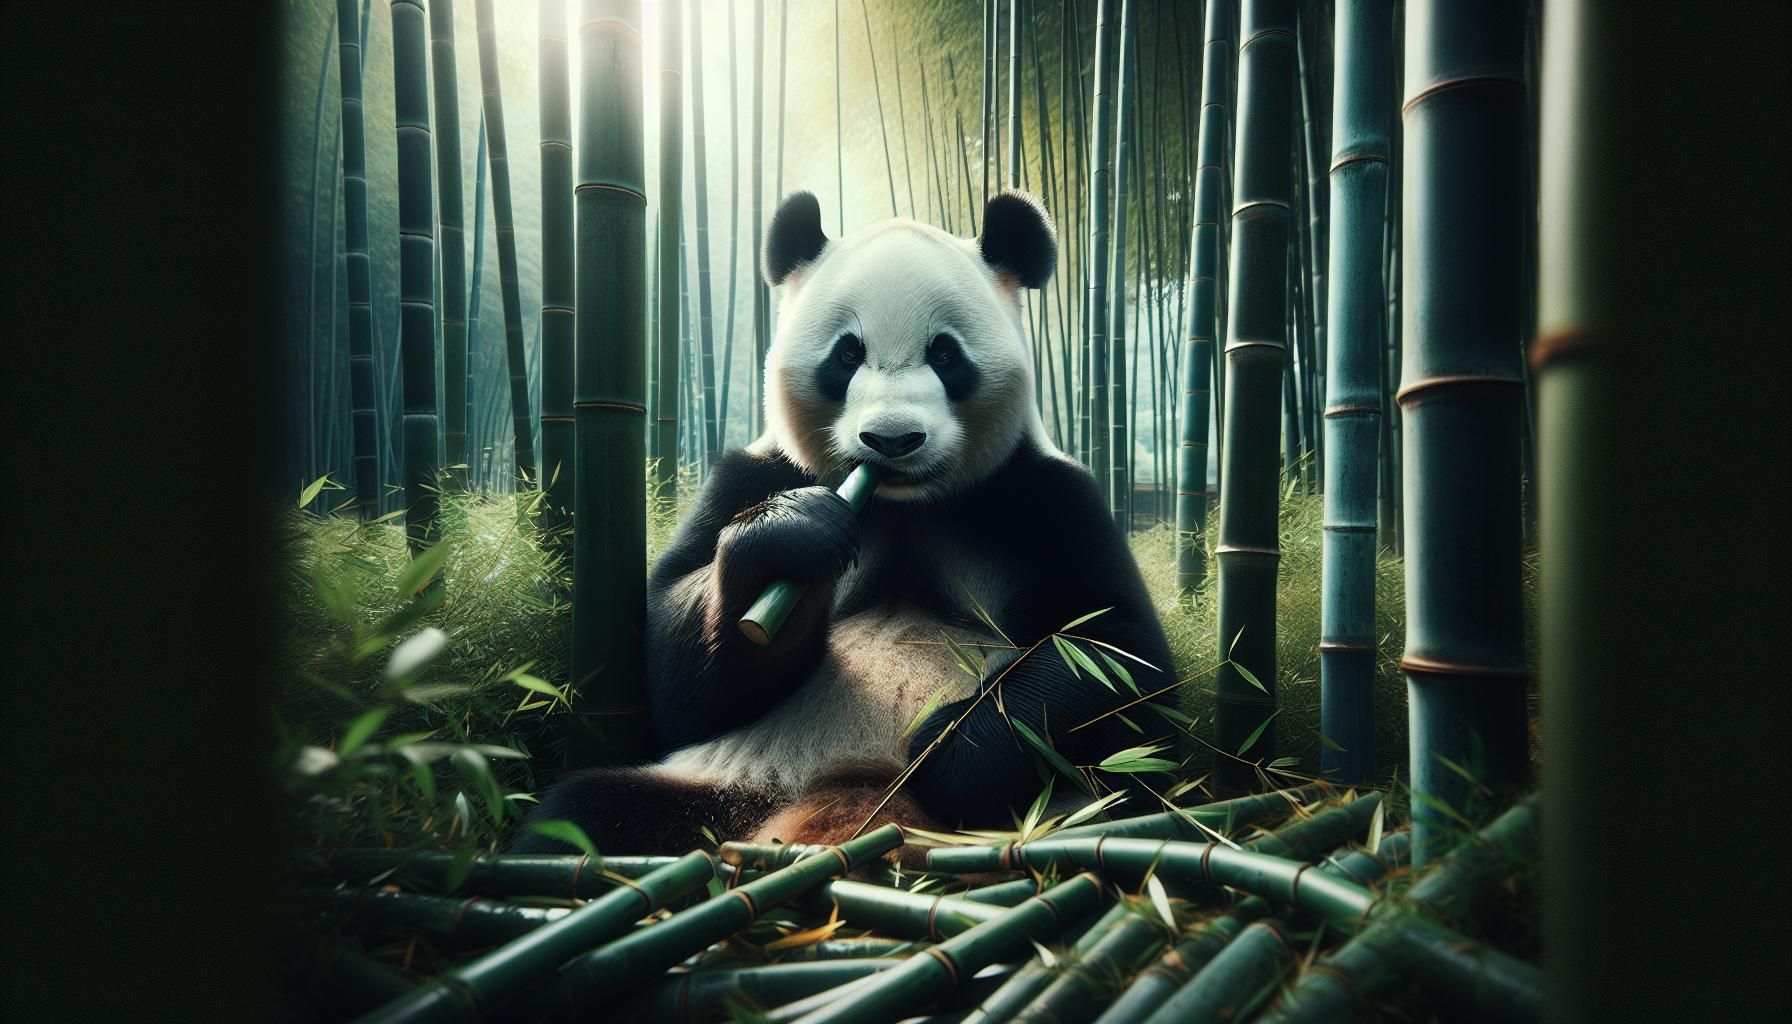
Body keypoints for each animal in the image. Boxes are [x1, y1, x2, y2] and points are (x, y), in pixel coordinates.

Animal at [517, 190, 1174, 855]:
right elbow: (678, 681)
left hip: (1064, 806)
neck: (902, 503)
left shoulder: (1042, 497)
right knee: (584, 815)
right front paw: (790, 536)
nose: (892, 439)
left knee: (1119, 807)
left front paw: (946, 749)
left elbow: (1112, 651)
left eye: (945, 354)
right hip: (726, 787)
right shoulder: (751, 476)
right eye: (847, 353)